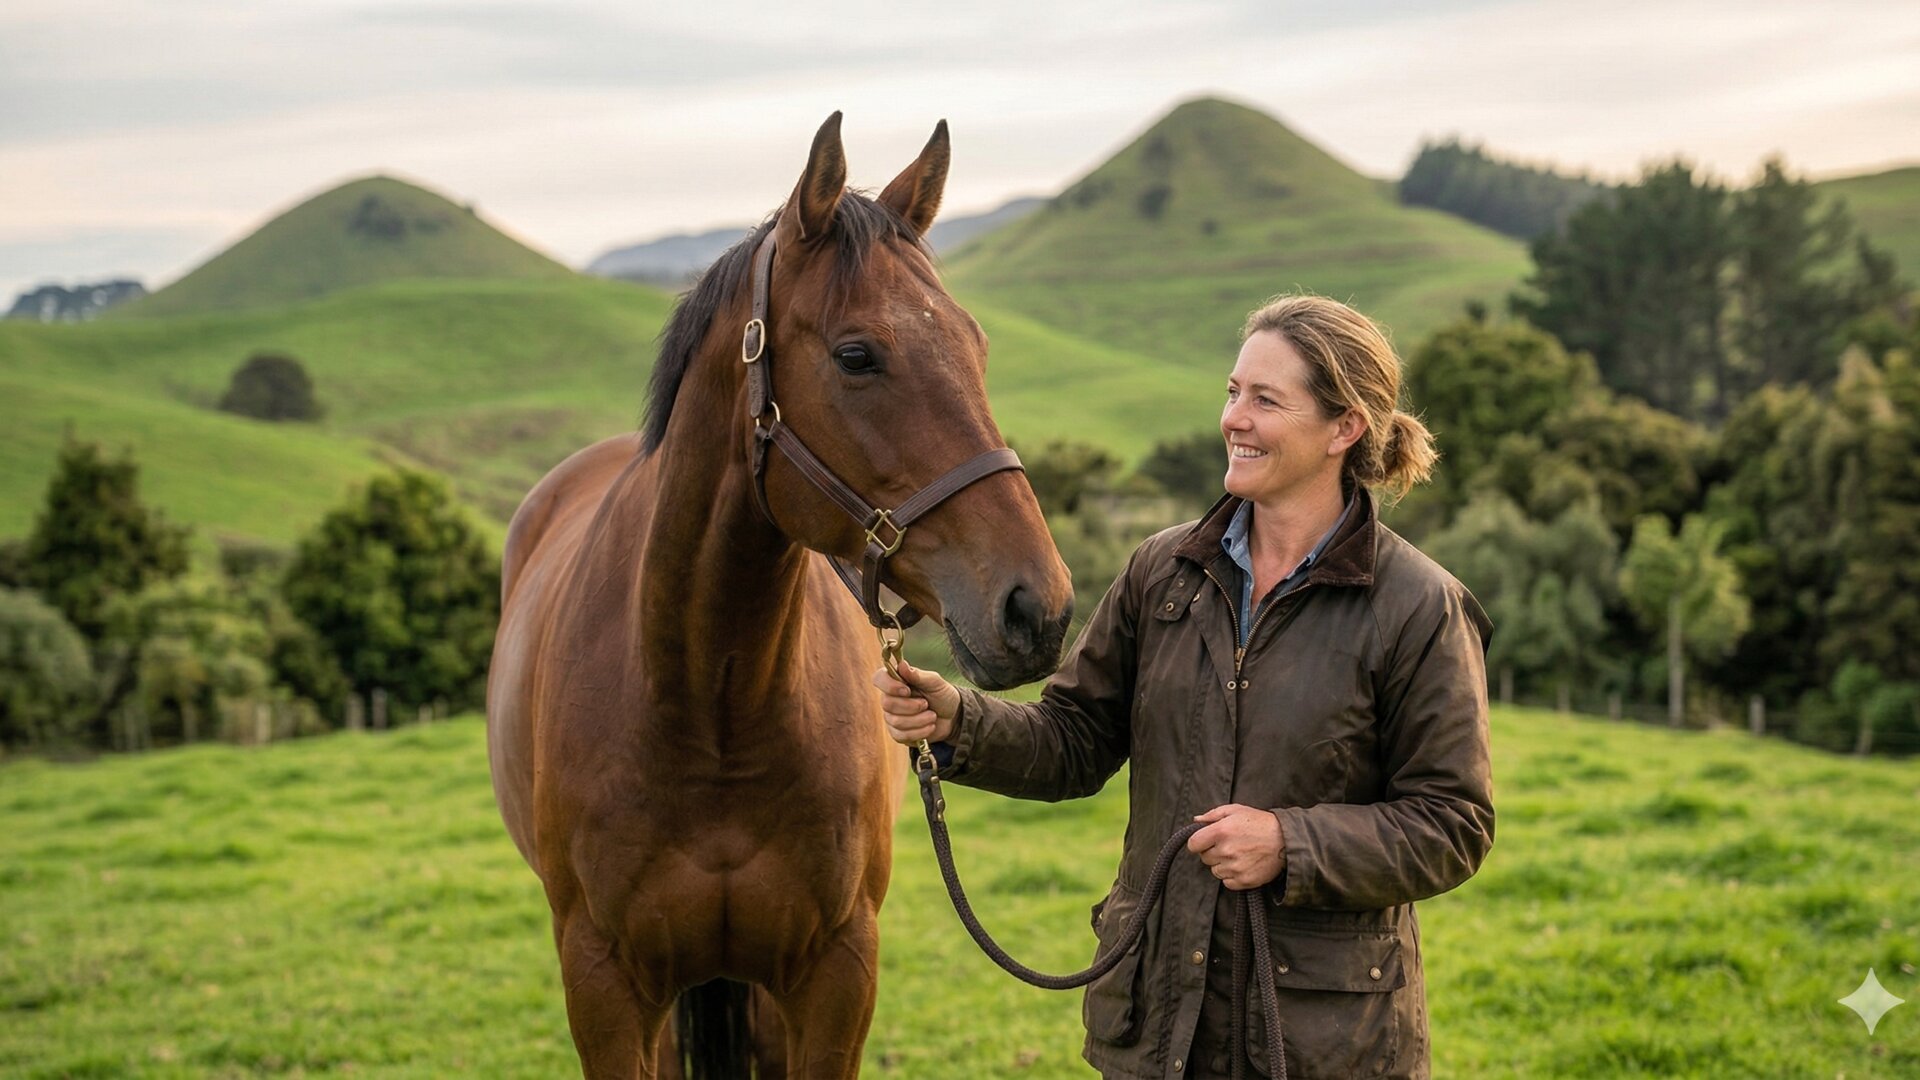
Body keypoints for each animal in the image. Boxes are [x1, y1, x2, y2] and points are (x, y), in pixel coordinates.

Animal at [485, 113, 1075, 1079]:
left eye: (976, 345)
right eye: (855, 355)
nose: (1039, 608)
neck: (710, 710)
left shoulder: (835, 975)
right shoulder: (604, 987)